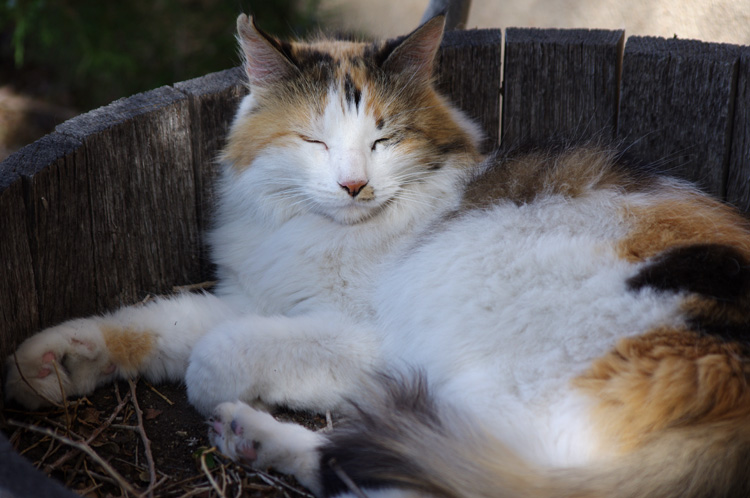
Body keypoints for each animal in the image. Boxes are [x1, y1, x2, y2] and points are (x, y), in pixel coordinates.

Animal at [4, 12, 750, 498]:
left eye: (384, 139)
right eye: (313, 141)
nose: (354, 184)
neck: (326, 232)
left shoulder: (366, 336)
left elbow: (212, 354)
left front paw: (214, 387)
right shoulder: (259, 295)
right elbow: (158, 326)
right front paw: (57, 362)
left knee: (439, 475)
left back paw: (253, 431)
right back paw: (255, 440)